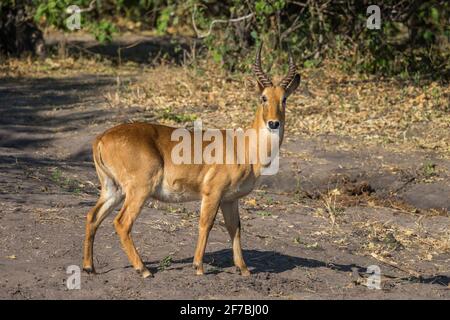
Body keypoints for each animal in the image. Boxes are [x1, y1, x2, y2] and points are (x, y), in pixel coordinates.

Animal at [82, 43, 300, 278]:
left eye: (284, 98)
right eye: (263, 97)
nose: (273, 123)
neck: (243, 147)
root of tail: (101, 138)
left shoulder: (230, 199)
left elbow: (235, 228)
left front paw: (243, 269)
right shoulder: (212, 193)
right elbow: (206, 224)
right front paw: (198, 267)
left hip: (113, 189)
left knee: (92, 216)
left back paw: (89, 267)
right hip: (139, 189)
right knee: (122, 223)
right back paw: (144, 270)